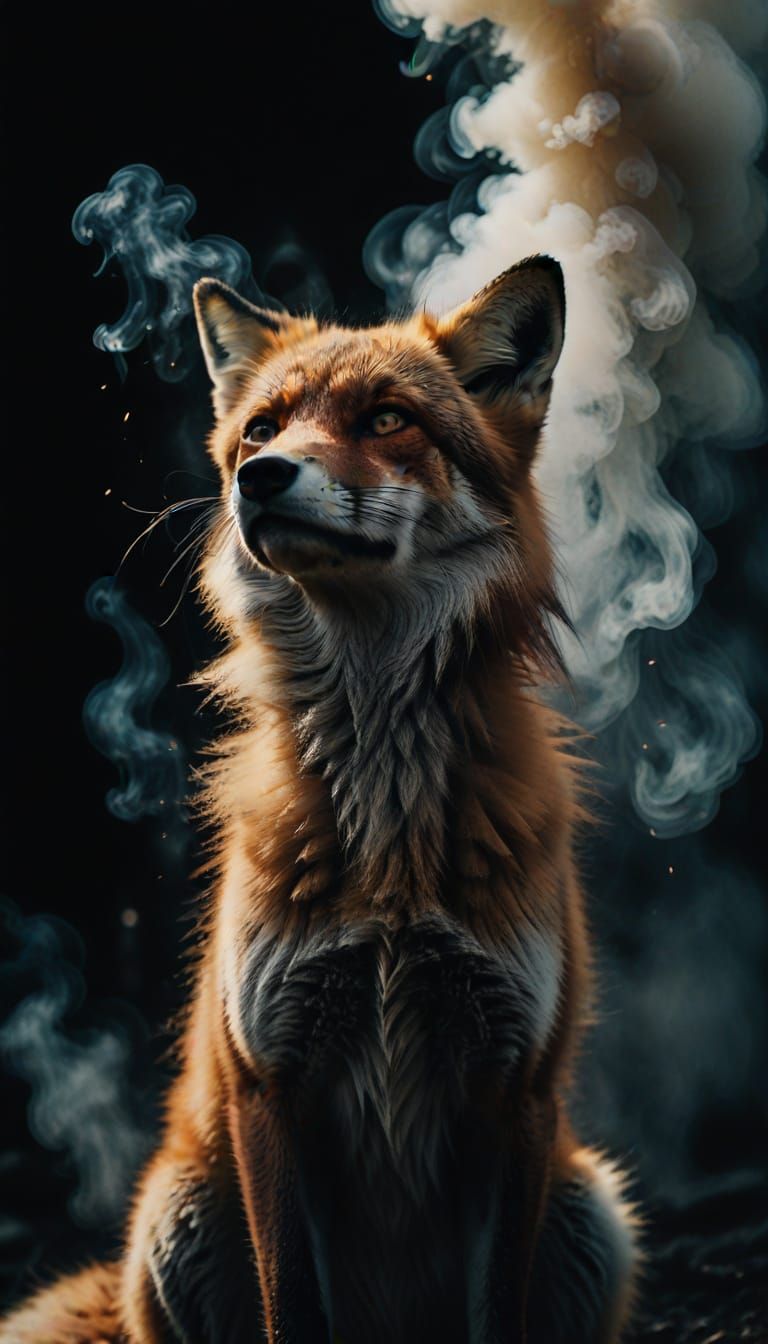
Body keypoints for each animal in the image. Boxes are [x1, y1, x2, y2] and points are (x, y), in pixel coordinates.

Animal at [2, 256, 640, 1343]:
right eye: (262, 429)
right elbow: (291, 1305)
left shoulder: (515, 1087)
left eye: (387, 419)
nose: (260, 477)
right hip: (173, 1213)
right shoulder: (272, 1082)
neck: (389, 851)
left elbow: (497, 1310)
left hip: (590, 1205)